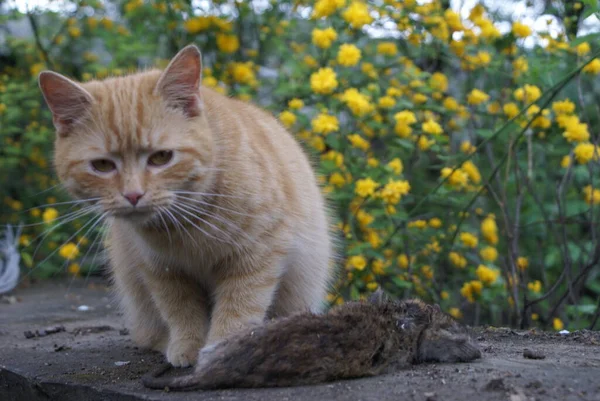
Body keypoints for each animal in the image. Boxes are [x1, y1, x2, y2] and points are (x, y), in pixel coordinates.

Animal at [38, 44, 332, 366]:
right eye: (102, 165)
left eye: (161, 157)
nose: (133, 194)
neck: (184, 225)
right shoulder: (161, 270)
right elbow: (180, 310)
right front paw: (187, 346)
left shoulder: (258, 254)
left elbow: (239, 307)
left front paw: (224, 348)